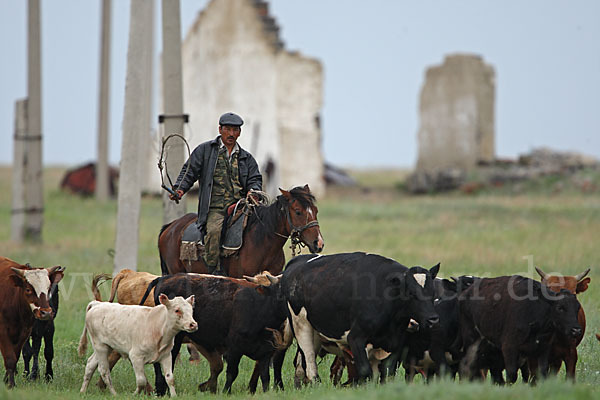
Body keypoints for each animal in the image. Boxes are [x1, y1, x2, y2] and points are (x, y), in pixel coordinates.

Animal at [0, 256, 64, 388]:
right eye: (28, 289)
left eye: (53, 290)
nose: (47, 312)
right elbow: (24, 353)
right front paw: (29, 375)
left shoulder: (45, 329)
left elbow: (47, 351)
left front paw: (47, 375)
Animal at [141, 274, 290, 396]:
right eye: (282, 292)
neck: (261, 308)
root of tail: (164, 278)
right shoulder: (234, 348)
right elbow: (232, 372)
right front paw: (226, 392)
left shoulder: (266, 352)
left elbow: (265, 376)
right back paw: (161, 389)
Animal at [282, 252, 440, 382]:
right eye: (411, 293)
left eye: (432, 292)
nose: (433, 318)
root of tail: (299, 260)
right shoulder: (356, 338)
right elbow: (365, 372)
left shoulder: (395, 343)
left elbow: (385, 374)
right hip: (301, 326)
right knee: (309, 363)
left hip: (316, 332)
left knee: (301, 364)